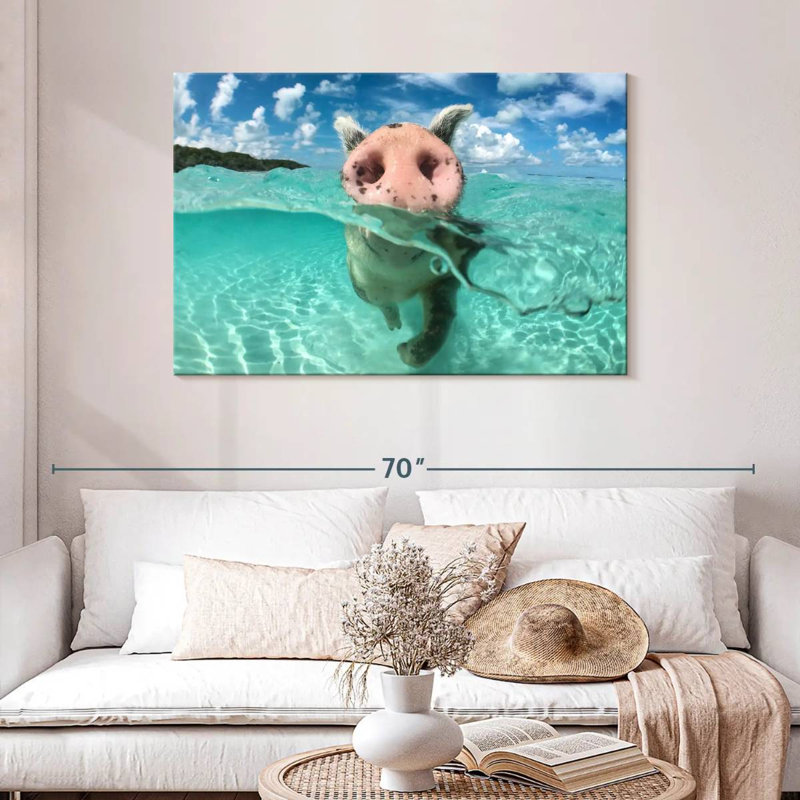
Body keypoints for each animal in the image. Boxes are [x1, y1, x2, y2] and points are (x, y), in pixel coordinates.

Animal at [334, 105, 482, 368]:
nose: (401, 135)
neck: (402, 281)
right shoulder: (358, 277)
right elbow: (381, 303)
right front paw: (395, 330)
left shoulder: (446, 275)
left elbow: (440, 319)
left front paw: (402, 350)